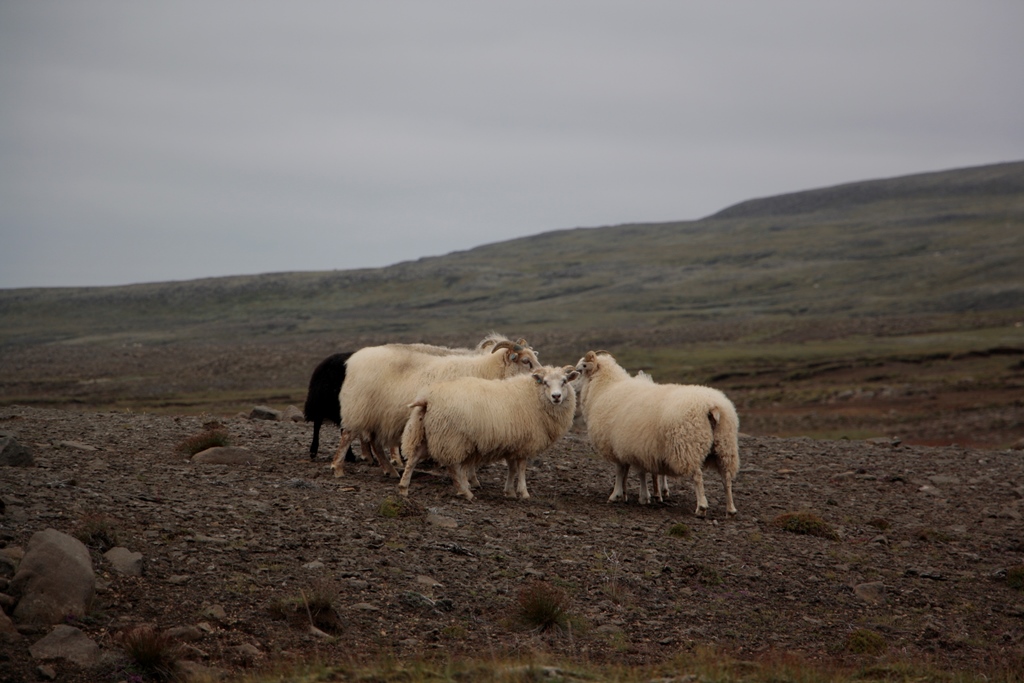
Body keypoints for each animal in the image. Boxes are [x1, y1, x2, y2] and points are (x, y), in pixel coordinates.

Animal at [329, 335, 540, 475]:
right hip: (358, 408)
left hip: (378, 414)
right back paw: (337, 468)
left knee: (374, 442)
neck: (485, 371)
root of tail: (353, 360)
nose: (541, 376)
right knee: (348, 435)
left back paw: (390, 471)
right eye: (526, 361)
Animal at [397, 366, 581, 499]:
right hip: (451, 437)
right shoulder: (525, 443)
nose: (556, 396)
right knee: (453, 466)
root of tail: (427, 399)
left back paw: (403, 488)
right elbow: (521, 469)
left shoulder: (512, 443)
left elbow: (512, 468)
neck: (534, 395)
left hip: (423, 432)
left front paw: (509, 492)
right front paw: (523, 492)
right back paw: (466, 492)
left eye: (564, 381)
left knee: (413, 459)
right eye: (545, 382)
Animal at [577, 350, 737, 516]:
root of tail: (712, 407)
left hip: (689, 447)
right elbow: (636, 471)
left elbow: (621, 471)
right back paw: (730, 509)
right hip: (724, 446)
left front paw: (617, 495)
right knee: (726, 477)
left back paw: (701, 507)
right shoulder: (635, 447)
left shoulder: (618, 446)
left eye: (580, 370)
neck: (605, 387)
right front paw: (636, 495)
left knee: (698, 476)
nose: (572, 387)